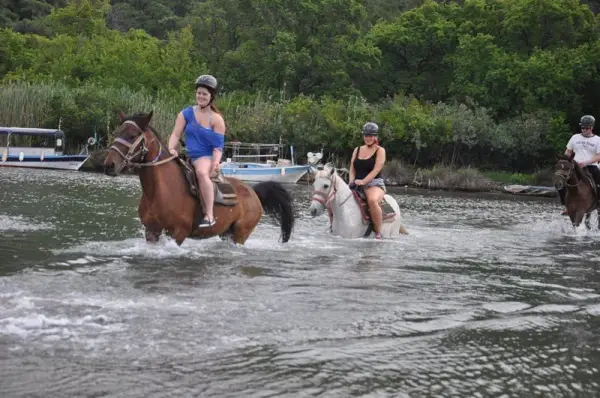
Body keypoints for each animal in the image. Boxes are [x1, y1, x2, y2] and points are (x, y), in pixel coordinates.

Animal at [103, 111, 296, 246]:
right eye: (116, 133)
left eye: (132, 135)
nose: (109, 165)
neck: (160, 190)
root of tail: (254, 192)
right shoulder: (151, 231)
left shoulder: (178, 233)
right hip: (226, 233)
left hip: (240, 234)